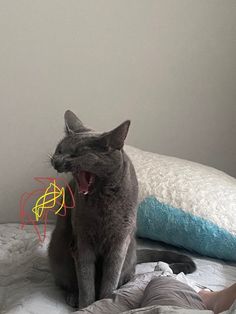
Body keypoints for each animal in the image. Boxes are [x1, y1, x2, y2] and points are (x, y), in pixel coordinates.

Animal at [48, 110, 195, 310]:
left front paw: (106, 301)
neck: (103, 203)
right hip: (58, 249)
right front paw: (86, 305)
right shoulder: (82, 240)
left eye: (77, 154)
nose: (56, 160)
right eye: (59, 150)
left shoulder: (120, 240)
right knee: (68, 280)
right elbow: (85, 281)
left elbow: (110, 278)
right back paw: (73, 296)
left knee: (127, 273)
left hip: (129, 249)